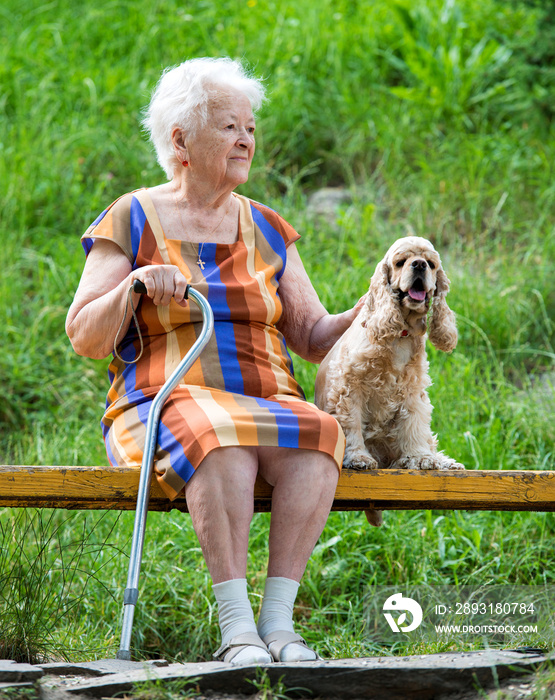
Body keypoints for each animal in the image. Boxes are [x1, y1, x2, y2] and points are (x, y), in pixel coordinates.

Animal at [318, 235, 464, 524]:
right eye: (400, 262)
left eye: (431, 264)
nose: (419, 265)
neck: (400, 334)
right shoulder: (349, 388)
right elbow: (351, 426)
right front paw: (359, 458)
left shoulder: (413, 392)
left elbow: (414, 426)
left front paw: (420, 458)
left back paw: (443, 462)